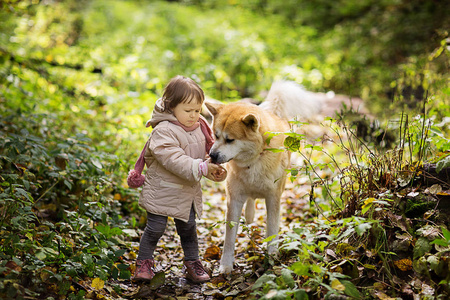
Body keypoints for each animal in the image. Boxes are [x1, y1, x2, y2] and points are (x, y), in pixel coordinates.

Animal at [206, 80, 322, 274]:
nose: (212, 155)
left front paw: (272, 258)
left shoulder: (273, 197)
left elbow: (271, 230)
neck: (254, 161)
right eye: (215, 135)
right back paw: (249, 214)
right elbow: (229, 237)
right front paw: (226, 265)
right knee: (250, 201)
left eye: (230, 140)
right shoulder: (234, 198)